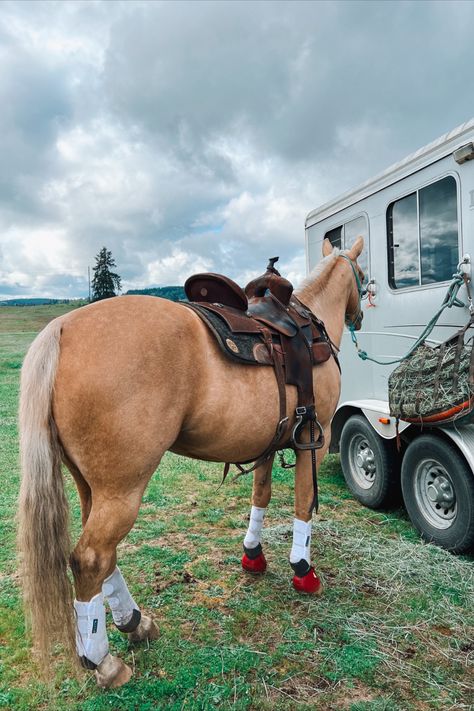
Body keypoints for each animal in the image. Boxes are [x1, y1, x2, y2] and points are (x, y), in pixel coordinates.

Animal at [16, 239, 364, 688]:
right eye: (361, 274)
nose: (360, 312)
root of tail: (62, 327)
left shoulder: (270, 442)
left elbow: (261, 495)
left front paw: (253, 555)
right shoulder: (313, 440)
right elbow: (304, 504)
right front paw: (303, 571)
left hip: (91, 486)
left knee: (104, 559)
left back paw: (134, 621)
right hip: (122, 490)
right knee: (91, 558)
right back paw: (103, 659)